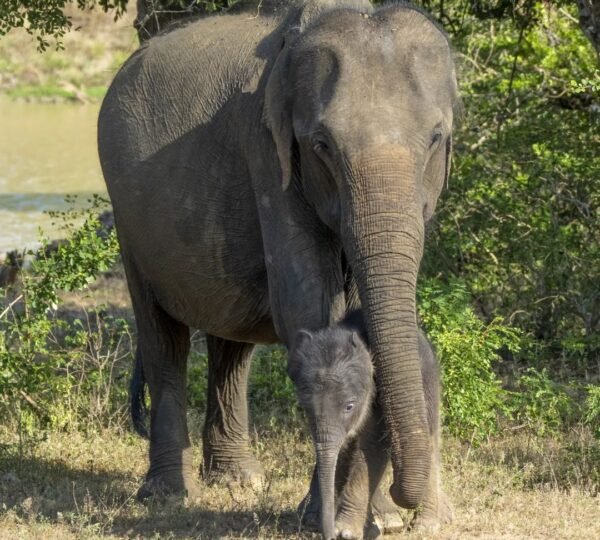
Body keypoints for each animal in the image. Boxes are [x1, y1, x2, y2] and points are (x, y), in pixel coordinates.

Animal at [288, 312, 450, 540]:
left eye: (349, 406)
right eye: (304, 408)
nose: (327, 534)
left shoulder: (381, 395)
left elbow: (373, 446)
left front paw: (345, 532)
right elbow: (344, 451)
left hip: (428, 384)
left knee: (430, 439)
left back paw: (426, 527)